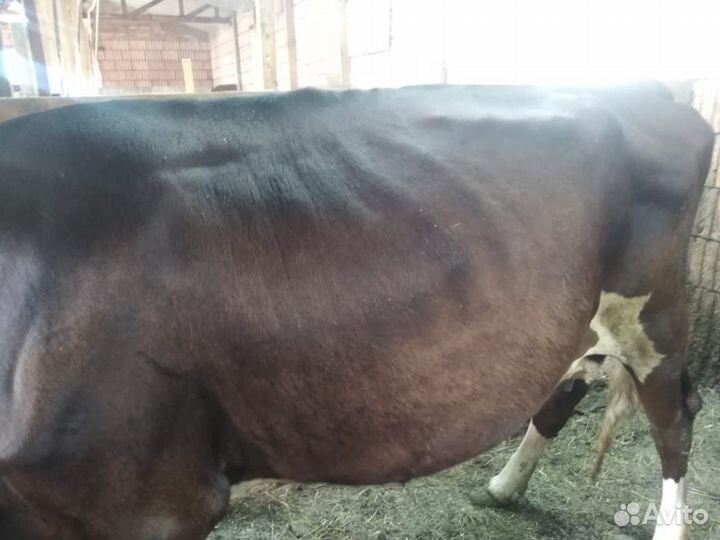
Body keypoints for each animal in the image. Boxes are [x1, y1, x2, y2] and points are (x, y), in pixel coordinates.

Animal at [0, 83, 713, 540]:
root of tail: (648, 90)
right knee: (566, 386)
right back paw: (503, 487)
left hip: (655, 312)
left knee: (676, 420)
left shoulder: (144, 499)